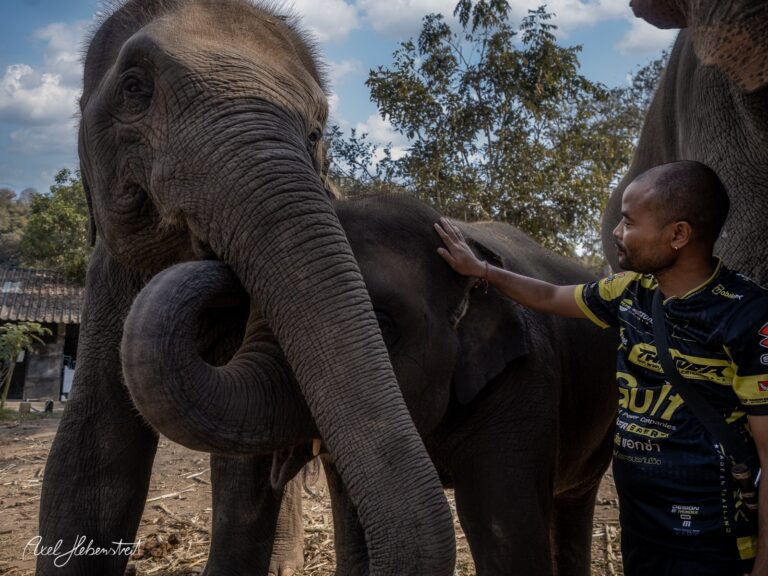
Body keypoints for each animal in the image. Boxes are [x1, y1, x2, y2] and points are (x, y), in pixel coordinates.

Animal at [122, 194, 620, 576]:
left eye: (378, 324)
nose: (207, 246)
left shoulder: (524, 384)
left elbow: (503, 529)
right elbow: (356, 522)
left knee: (574, 502)